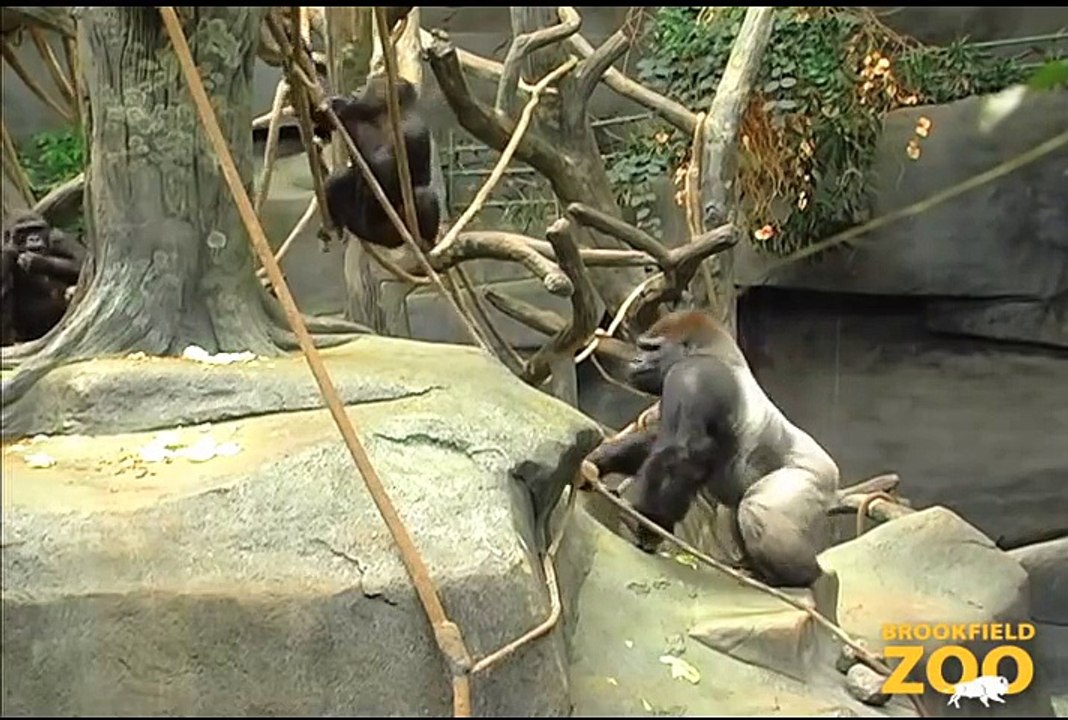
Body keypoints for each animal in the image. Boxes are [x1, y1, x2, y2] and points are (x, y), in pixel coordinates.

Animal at [1, 210, 86, 345]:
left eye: (37, 229)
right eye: (23, 231)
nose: (34, 238)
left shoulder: (58, 237)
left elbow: (81, 260)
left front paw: (38, 262)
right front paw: (10, 250)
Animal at [310, 74, 441, 251]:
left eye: (368, 84)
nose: (358, 88)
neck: (385, 114)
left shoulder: (411, 129)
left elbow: (384, 166)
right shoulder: (355, 114)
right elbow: (328, 120)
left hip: (393, 231)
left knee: (424, 195)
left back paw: (426, 242)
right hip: (360, 224)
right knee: (339, 178)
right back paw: (335, 223)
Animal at [585, 310, 841, 588]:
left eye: (652, 348)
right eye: (642, 348)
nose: (636, 361)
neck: (711, 349)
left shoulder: (691, 375)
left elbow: (683, 454)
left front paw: (652, 526)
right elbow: (656, 443)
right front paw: (600, 459)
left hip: (814, 477)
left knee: (754, 509)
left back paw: (801, 576)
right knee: (735, 510)